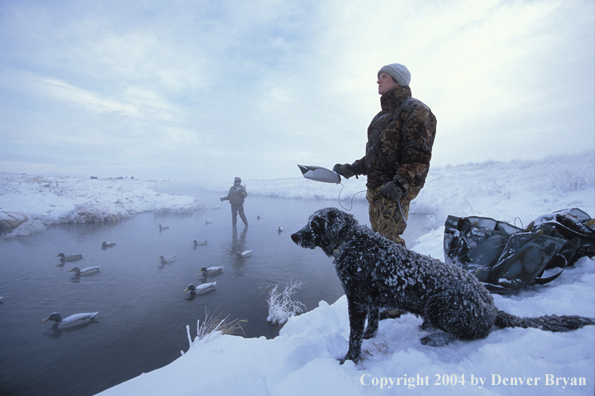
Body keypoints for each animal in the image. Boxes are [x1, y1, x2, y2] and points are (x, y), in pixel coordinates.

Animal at [292, 209, 595, 364]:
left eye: (314, 223)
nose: (294, 235)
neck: (352, 242)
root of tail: (491, 306)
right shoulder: (371, 299)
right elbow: (372, 322)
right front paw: (371, 335)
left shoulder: (355, 299)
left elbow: (354, 336)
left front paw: (349, 359)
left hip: (438, 304)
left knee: (472, 334)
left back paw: (434, 337)